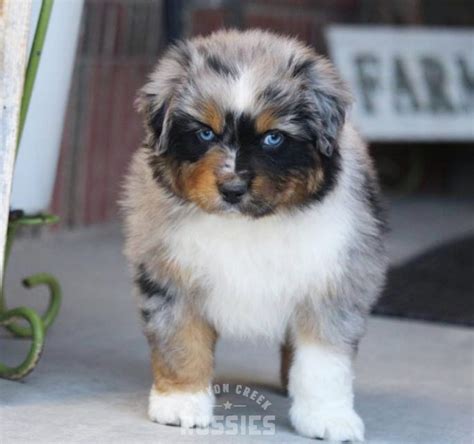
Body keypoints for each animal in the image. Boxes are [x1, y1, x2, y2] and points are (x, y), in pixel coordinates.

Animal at [120, 29, 386, 442]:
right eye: (204, 133)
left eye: (273, 138)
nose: (232, 189)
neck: (249, 223)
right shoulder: (169, 274)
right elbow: (181, 342)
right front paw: (181, 403)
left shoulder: (335, 282)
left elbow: (324, 362)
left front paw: (328, 417)